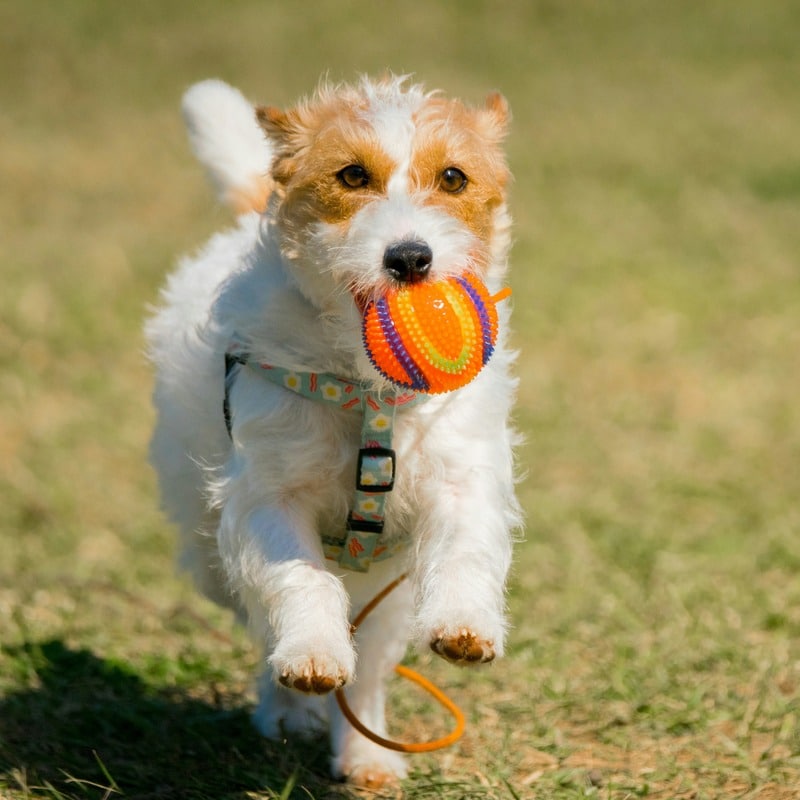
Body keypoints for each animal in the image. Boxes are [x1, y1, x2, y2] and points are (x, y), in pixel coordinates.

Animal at [147, 75, 520, 788]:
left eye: (453, 178)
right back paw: (289, 709)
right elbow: (300, 579)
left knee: (371, 657)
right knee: (262, 615)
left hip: (388, 587)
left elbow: (464, 550)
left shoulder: (459, 479)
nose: (410, 258)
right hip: (210, 554)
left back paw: (366, 750)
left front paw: (465, 623)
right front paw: (312, 655)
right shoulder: (270, 496)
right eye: (351, 175)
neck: (368, 392)